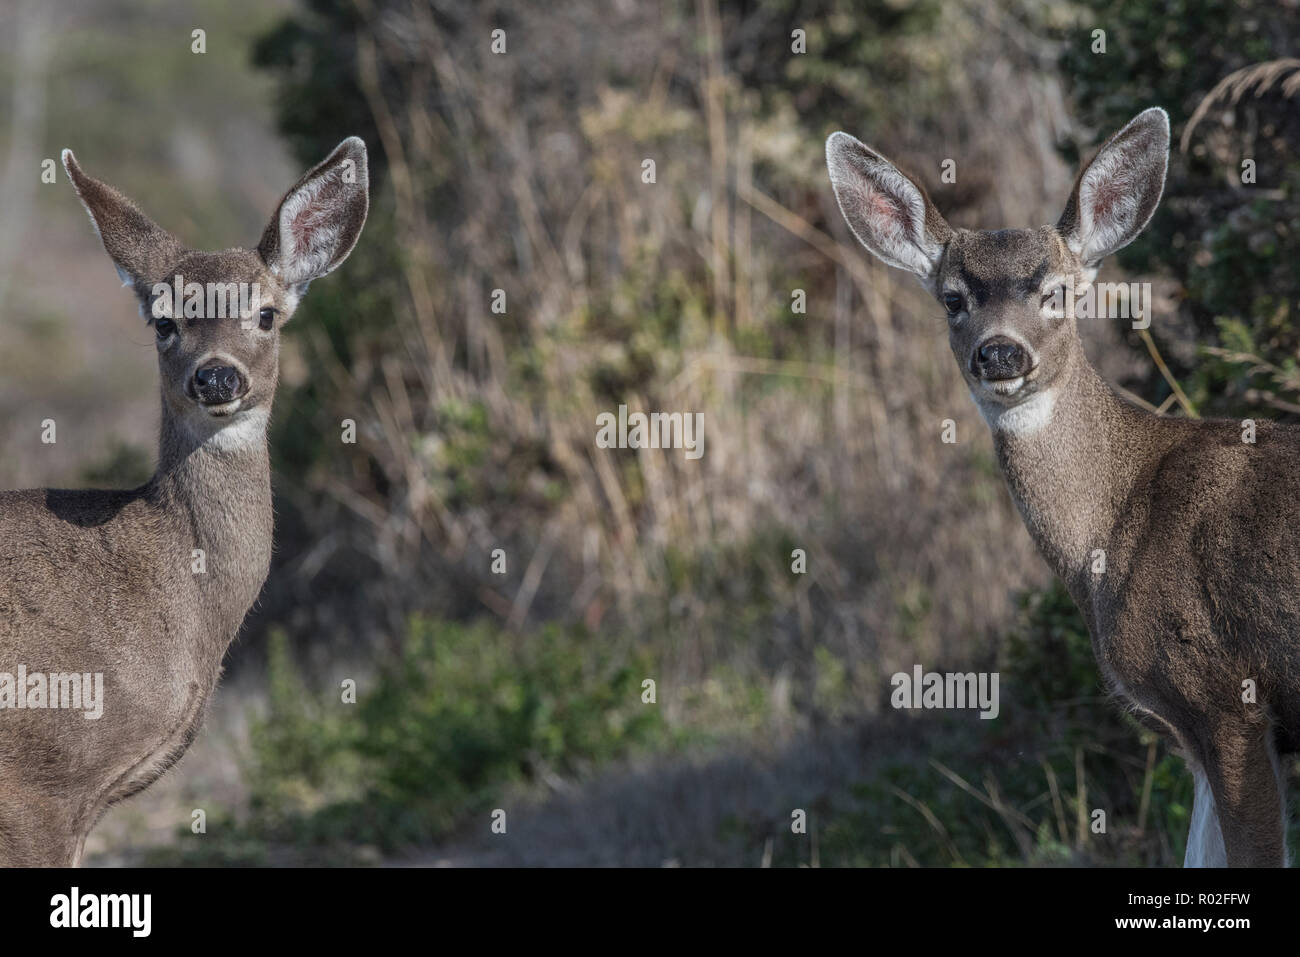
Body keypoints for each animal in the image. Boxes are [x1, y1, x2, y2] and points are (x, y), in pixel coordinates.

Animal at [826, 106, 1294, 868]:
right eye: (953, 298)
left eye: (1057, 291)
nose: (1000, 352)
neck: (1117, 528)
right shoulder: (1197, 729)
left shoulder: (1229, 697)